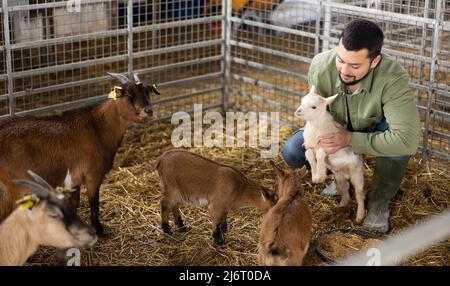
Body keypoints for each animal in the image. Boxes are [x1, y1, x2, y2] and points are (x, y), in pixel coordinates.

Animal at [0, 72, 159, 235]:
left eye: (147, 92)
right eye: (128, 94)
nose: (149, 111)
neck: (98, 126)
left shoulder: (74, 179)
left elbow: (74, 204)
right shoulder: (92, 175)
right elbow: (94, 203)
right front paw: (98, 229)